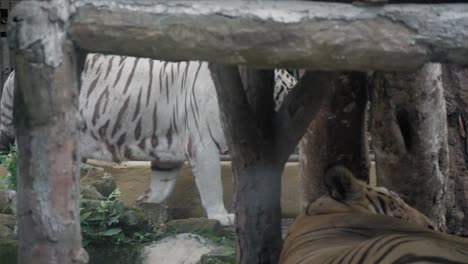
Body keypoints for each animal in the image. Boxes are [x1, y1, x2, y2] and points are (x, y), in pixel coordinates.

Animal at [0, 53, 300, 225]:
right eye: (289, 91)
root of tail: (12, 74)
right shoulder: (203, 144)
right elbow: (212, 184)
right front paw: (221, 216)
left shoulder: (170, 152)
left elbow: (162, 185)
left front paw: (145, 203)